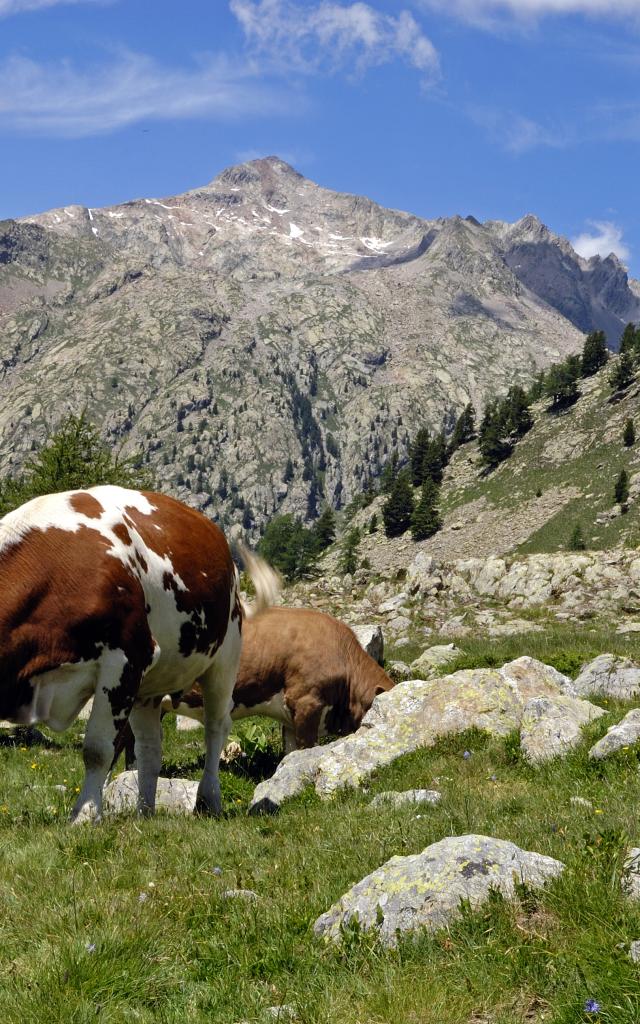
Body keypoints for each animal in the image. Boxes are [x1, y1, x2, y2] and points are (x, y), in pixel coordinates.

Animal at [0, 485, 243, 823]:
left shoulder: (124, 659)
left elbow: (97, 749)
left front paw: (86, 814)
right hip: (148, 689)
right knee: (149, 748)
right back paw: (145, 810)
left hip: (224, 658)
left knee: (215, 728)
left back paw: (209, 800)